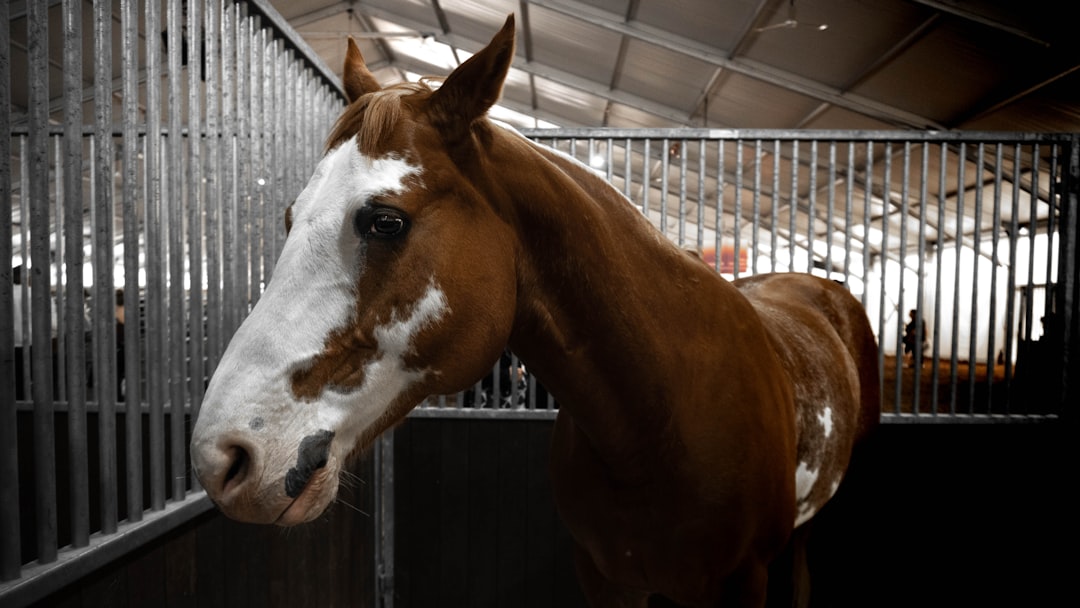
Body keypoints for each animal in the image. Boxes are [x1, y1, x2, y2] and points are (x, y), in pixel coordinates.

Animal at [189, 15, 880, 607]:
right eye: (289, 218)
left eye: (386, 221)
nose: (223, 457)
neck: (661, 420)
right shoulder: (605, 580)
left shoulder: (743, 585)